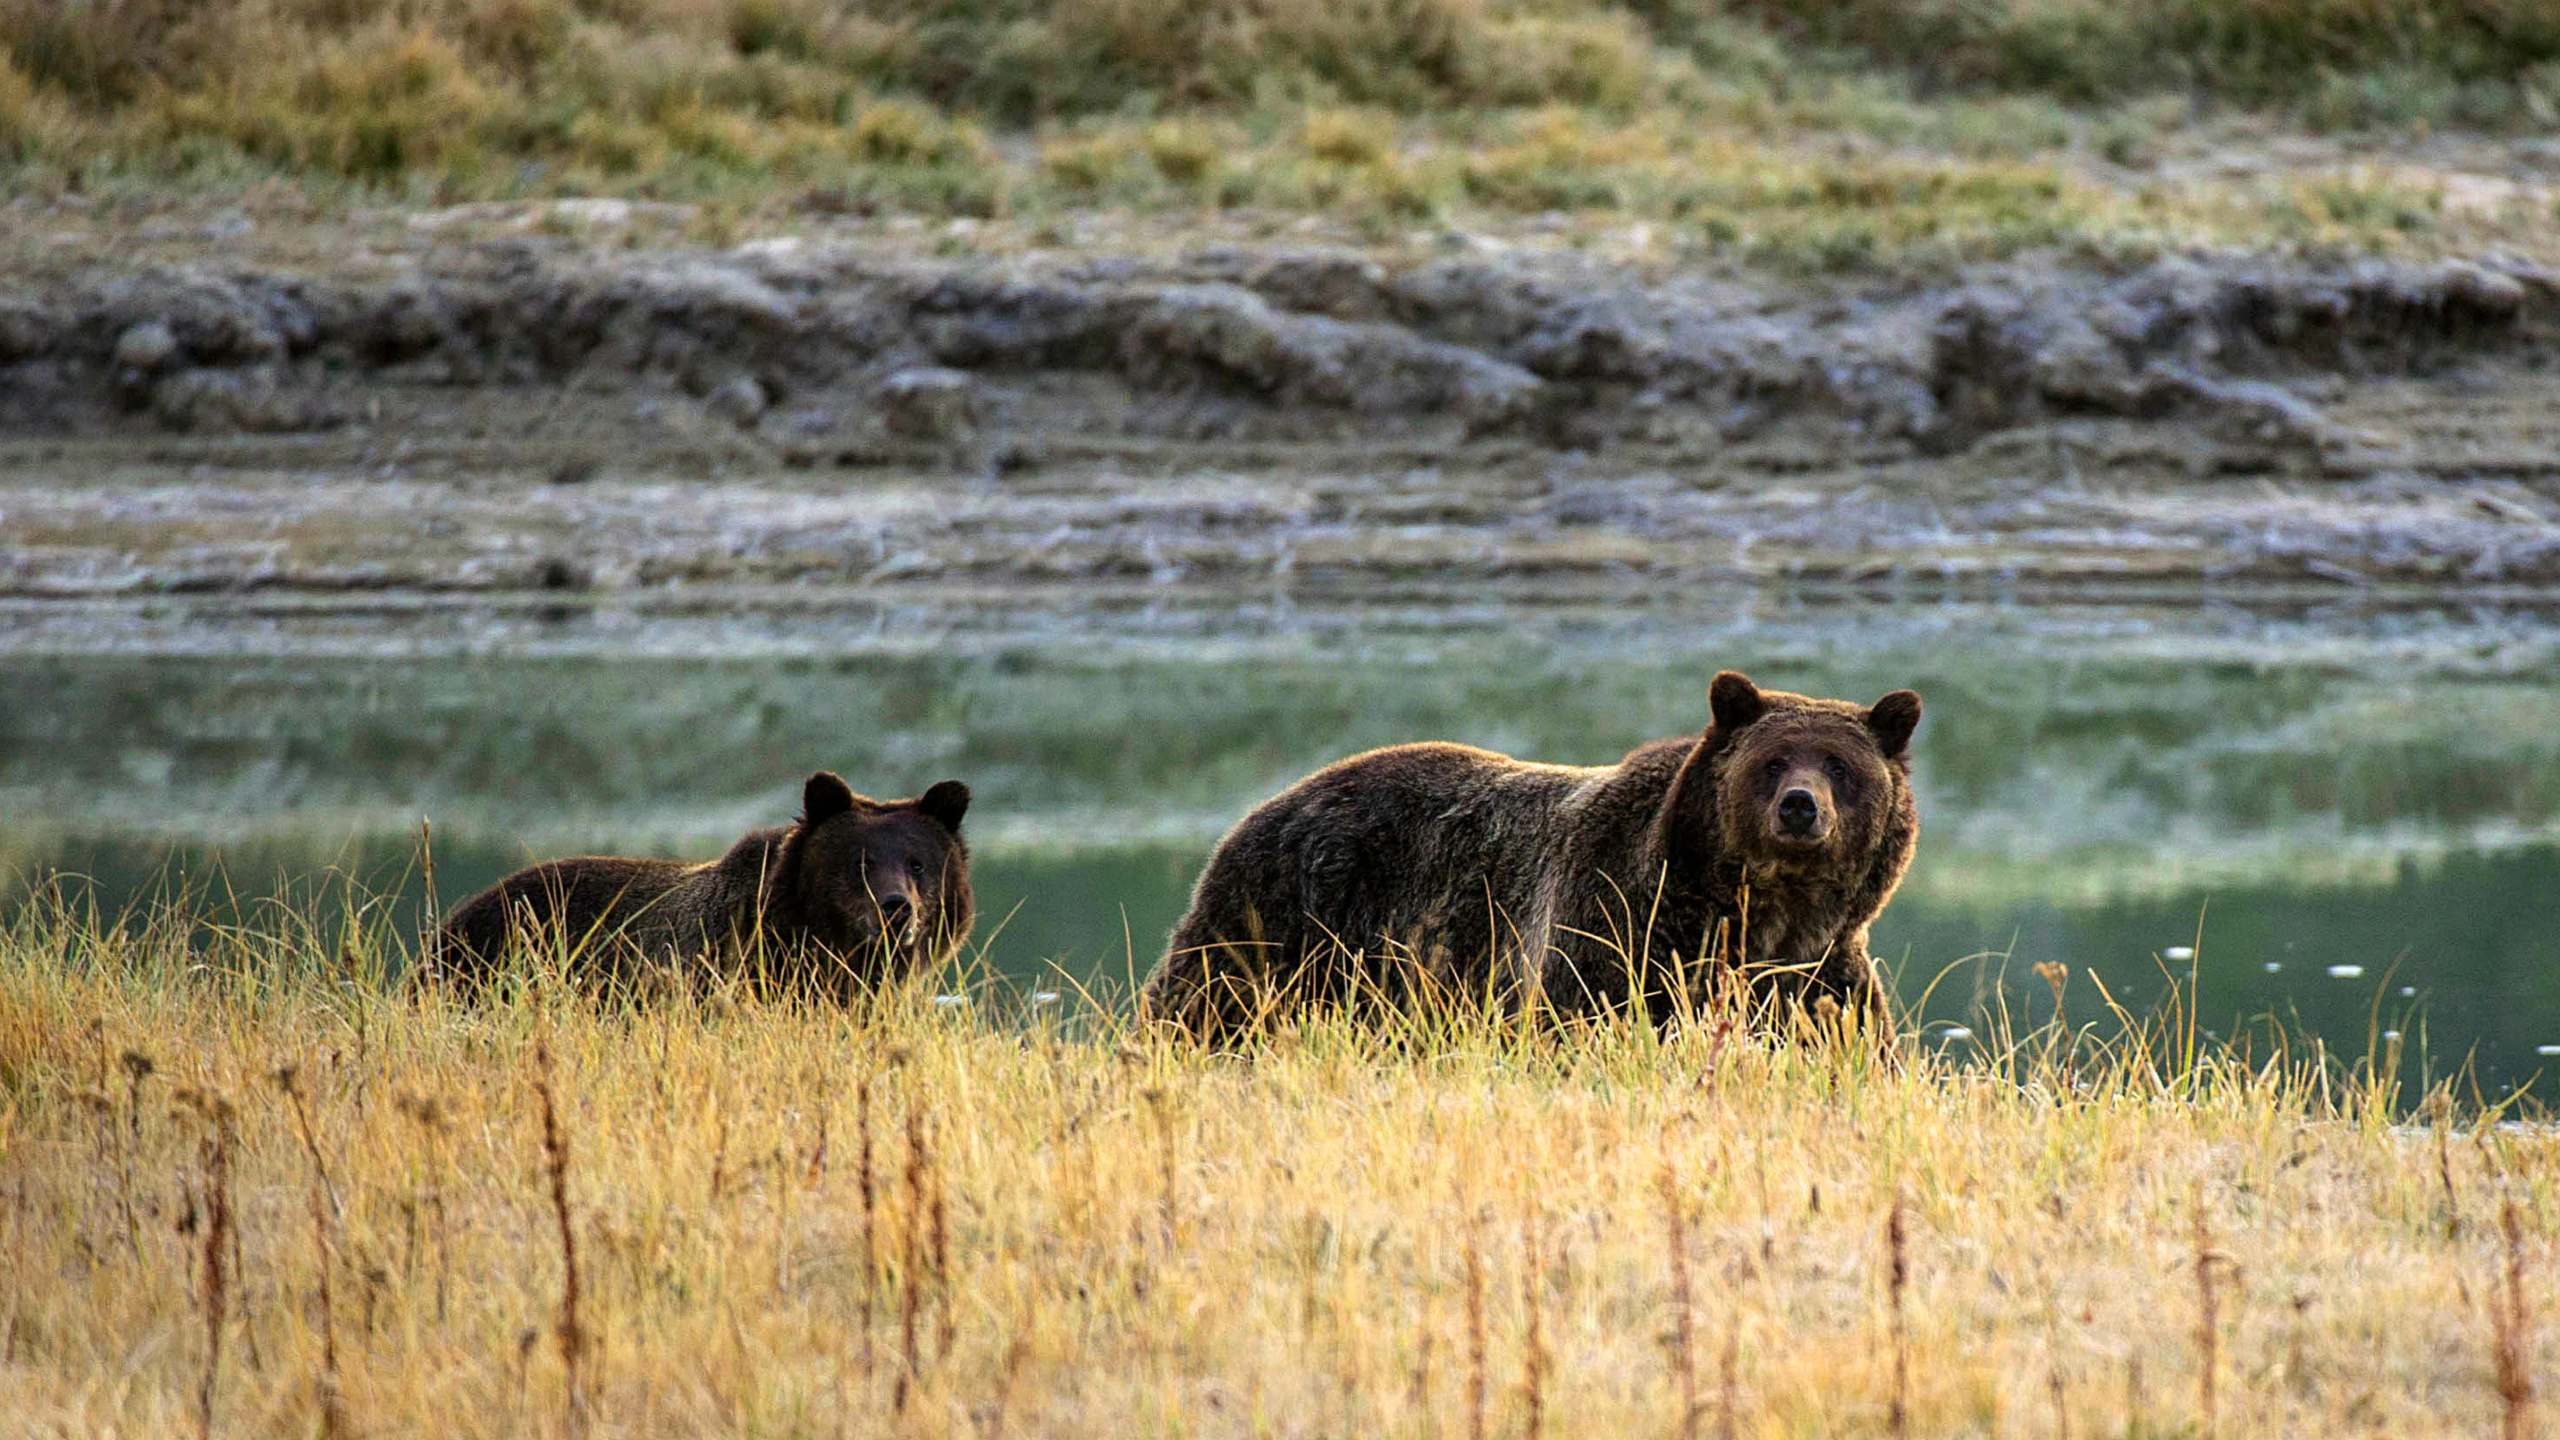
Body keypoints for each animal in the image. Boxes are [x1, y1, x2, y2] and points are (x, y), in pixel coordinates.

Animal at [1141, 666, 1925, 1035]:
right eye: (1773, 761)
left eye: (1840, 766)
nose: (1800, 807)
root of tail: (1263, 806)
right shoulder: (1615, 932)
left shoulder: (1820, 975)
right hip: (1281, 923)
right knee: (1204, 1006)